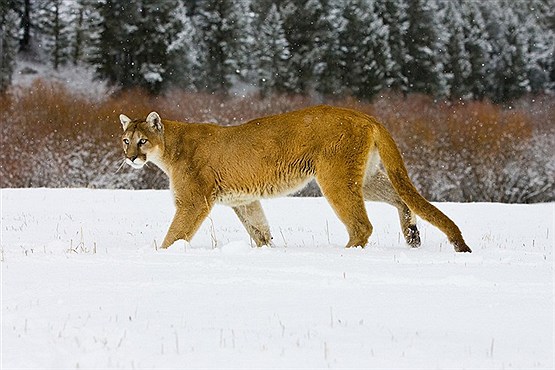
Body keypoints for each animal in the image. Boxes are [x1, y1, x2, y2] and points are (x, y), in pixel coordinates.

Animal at [119, 105, 472, 253]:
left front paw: (161, 254)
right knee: (400, 196)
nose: (131, 157)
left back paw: (346, 253)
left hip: (334, 176)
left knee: (362, 225)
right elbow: (260, 230)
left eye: (142, 141)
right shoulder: (244, 200)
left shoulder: (194, 200)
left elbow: (176, 234)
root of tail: (366, 115)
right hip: (367, 177)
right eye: (125, 140)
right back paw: (412, 235)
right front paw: (267, 251)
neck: (170, 146)